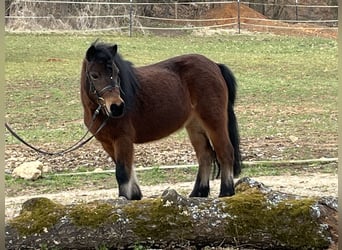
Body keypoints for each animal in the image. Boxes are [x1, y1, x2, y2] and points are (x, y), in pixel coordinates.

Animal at [80, 41, 240, 200]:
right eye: (94, 75)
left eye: (116, 73)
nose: (117, 107)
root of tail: (215, 66)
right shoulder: (107, 143)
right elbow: (129, 170)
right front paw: (135, 195)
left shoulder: (122, 140)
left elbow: (122, 173)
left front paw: (124, 198)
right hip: (195, 126)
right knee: (205, 155)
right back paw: (198, 193)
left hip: (214, 121)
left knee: (225, 151)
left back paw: (226, 192)